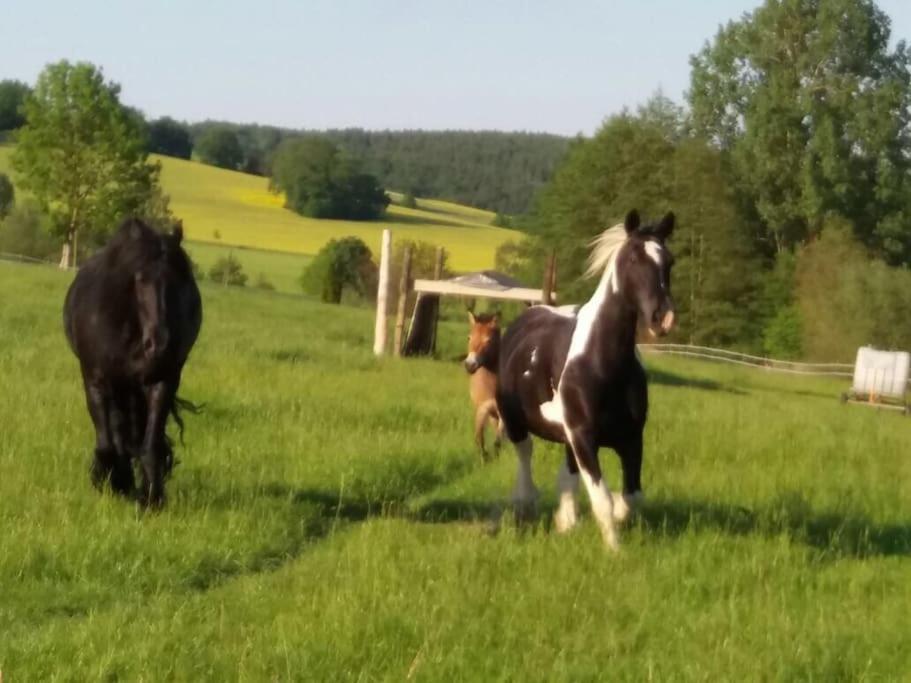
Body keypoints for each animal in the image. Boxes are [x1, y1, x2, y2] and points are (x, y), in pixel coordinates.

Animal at [62, 219, 203, 508]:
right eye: (140, 279)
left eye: (177, 281)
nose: (159, 344)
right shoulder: (97, 381)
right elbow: (108, 441)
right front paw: (113, 482)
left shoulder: (162, 382)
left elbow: (150, 443)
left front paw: (151, 498)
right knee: (118, 431)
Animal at [496, 208, 672, 552]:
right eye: (633, 259)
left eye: (670, 261)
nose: (663, 319)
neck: (603, 364)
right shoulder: (584, 437)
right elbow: (603, 498)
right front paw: (615, 550)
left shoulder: (631, 439)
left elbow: (631, 498)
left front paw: (590, 523)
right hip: (516, 423)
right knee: (525, 457)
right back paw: (526, 505)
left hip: (568, 437)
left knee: (567, 476)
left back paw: (566, 521)